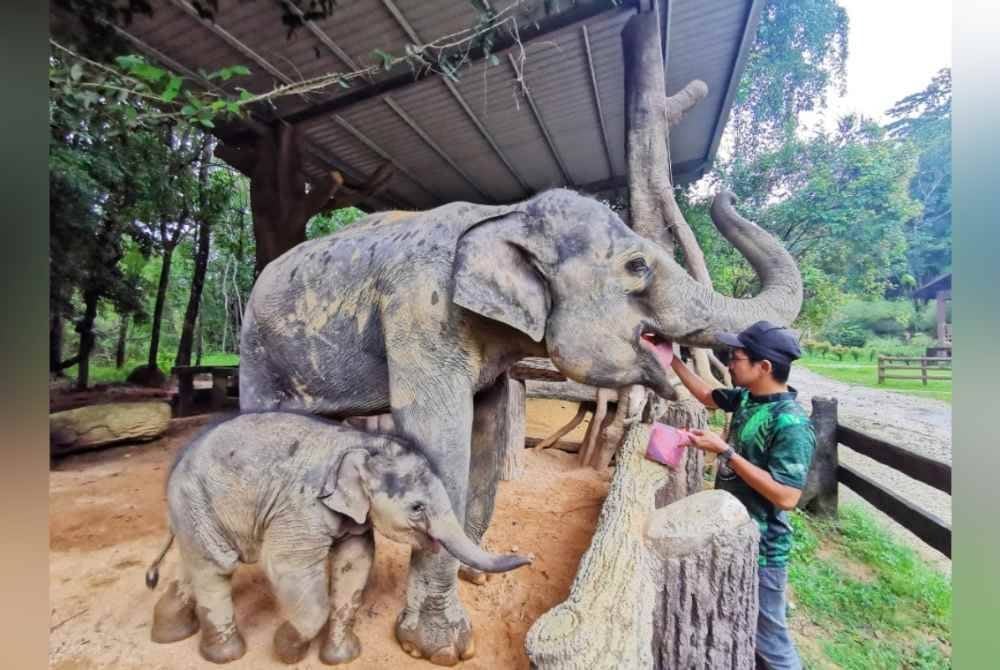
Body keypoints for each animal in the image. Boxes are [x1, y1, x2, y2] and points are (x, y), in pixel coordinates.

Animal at [145, 414, 532, 668]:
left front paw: (341, 658)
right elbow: (288, 565)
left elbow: (355, 561)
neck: (359, 442)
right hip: (197, 499)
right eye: (417, 507)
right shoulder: (300, 506)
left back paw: (168, 633)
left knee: (197, 561)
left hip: (198, 511)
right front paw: (285, 651)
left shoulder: (353, 518)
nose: (530, 558)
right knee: (216, 567)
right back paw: (227, 655)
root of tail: (178, 460)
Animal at [238, 189, 800, 668]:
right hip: (257, 349)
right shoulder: (421, 315)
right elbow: (439, 443)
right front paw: (438, 648)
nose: (722, 195)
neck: (507, 212)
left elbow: (486, 434)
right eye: (637, 266)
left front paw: (478, 576)